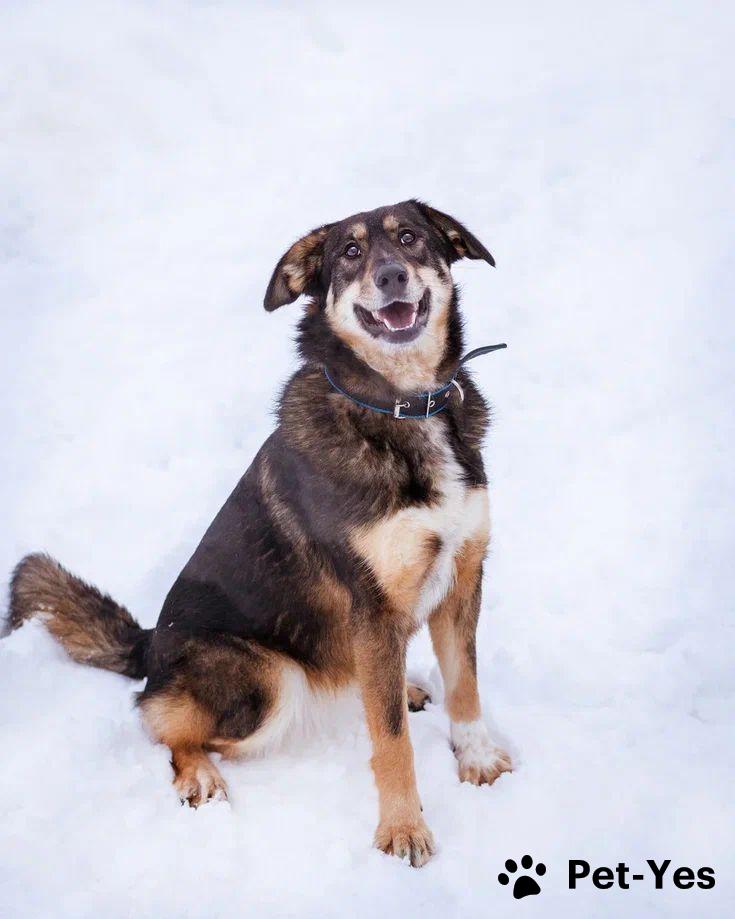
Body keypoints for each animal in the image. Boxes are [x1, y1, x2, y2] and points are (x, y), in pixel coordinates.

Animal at [9, 200, 511, 867]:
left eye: (409, 237)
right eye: (350, 253)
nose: (391, 276)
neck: (398, 407)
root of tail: (150, 646)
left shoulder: (462, 576)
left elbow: (465, 685)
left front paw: (477, 758)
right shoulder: (374, 606)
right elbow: (391, 742)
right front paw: (403, 830)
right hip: (267, 680)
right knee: (163, 725)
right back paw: (199, 773)